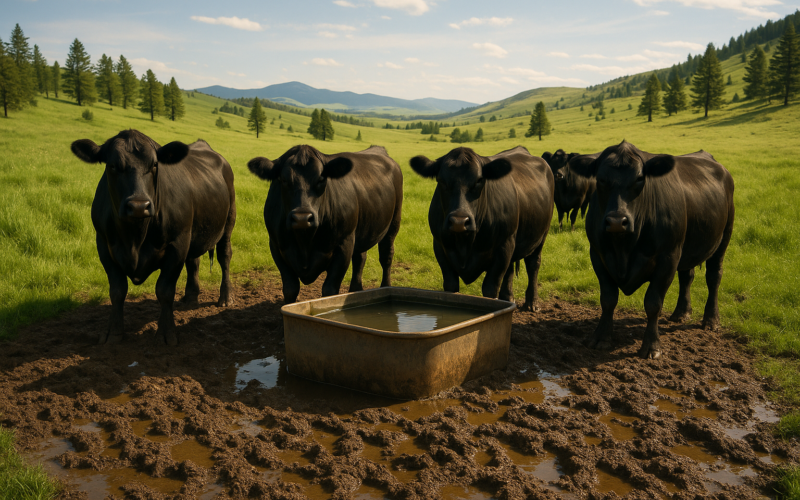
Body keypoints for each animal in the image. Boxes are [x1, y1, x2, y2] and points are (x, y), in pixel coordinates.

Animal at [71, 130, 236, 346]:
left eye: (155, 165)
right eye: (112, 165)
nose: (139, 206)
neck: (135, 238)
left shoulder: (177, 245)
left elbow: (164, 291)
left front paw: (166, 333)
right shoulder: (104, 245)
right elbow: (117, 291)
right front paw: (113, 332)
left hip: (228, 221)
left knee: (224, 256)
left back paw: (225, 297)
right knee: (194, 262)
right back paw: (190, 296)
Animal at [247, 145, 403, 303]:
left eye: (321, 179)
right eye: (283, 180)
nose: (302, 218)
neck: (305, 241)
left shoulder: (344, 244)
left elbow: (329, 290)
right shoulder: (276, 245)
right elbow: (290, 289)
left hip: (393, 224)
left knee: (386, 256)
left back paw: (386, 287)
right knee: (360, 258)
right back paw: (356, 290)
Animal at [410, 146, 554, 310]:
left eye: (479, 180)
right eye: (441, 181)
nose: (459, 222)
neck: (465, 243)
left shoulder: (503, 248)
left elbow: (490, 289)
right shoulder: (440, 246)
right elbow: (451, 285)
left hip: (540, 235)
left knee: (533, 265)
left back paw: (532, 302)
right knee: (510, 270)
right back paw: (507, 297)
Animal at [569, 140, 734, 359]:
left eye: (639, 178)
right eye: (601, 179)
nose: (616, 222)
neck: (624, 247)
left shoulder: (668, 258)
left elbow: (653, 303)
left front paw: (651, 346)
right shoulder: (598, 254)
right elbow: (608, 299)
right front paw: (601, 337)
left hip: (723, 238)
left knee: (714, 277)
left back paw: (711, 320)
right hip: (687, 248)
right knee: (686, 277)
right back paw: (681, 313)